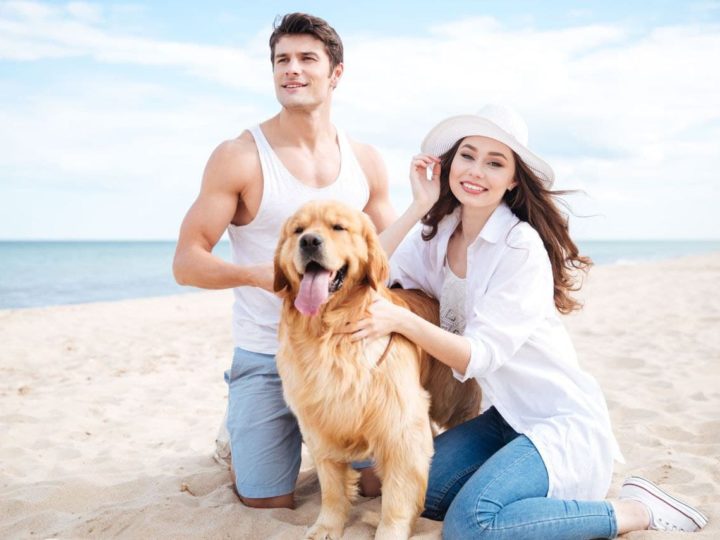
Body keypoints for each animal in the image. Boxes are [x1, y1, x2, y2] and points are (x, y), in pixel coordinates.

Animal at [272, 200, 480, 536]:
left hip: (452, 400)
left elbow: (398, 492)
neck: (331, 335)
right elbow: (331, 486)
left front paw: (391, 531)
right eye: (298, 230)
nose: (309, 242)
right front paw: (327, 526)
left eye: (338, 227)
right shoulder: (319, 423)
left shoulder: (400, 426)